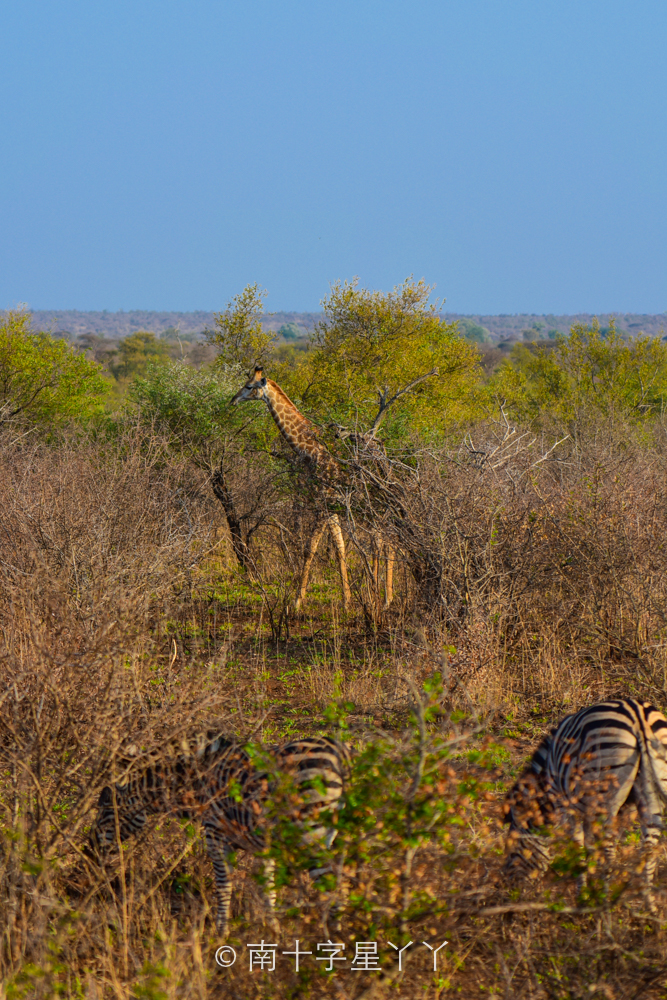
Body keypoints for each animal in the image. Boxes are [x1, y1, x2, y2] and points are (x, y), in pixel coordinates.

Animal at [87, 732, 350, 932]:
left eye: (105, 811)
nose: (90, 850)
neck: (198, 782)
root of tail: (341, 754)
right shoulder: (264, 845)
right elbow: (268, 890)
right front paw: (274, 933)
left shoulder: (215, 833)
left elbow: (223, 885)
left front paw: (221, 932)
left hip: (311, 834)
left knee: (335, 888)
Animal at [232, 370, 394, 608]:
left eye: (249, 386)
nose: (232, 400)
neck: (310, 450)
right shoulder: (331, 505)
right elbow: (340, 547)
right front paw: (347, 600)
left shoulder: (322, 503)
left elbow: (310, 548)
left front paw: (296, 601)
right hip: (373, 505)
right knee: (383, 538)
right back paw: (383, 595)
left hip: (376, 503)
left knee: (384, 539)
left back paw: (384, 597)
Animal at [504, 696, 667, 908]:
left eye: (512, 848)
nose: (508, 891)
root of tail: (637, 715)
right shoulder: (619, 809)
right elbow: (591, 846)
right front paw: (591, 887)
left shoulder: (566, 805)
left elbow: (579, 846)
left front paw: (583, 896)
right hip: (650, 791)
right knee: (649, 845)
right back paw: (648, 906)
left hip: (605, 784)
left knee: (609, 849)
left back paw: (605, 904)